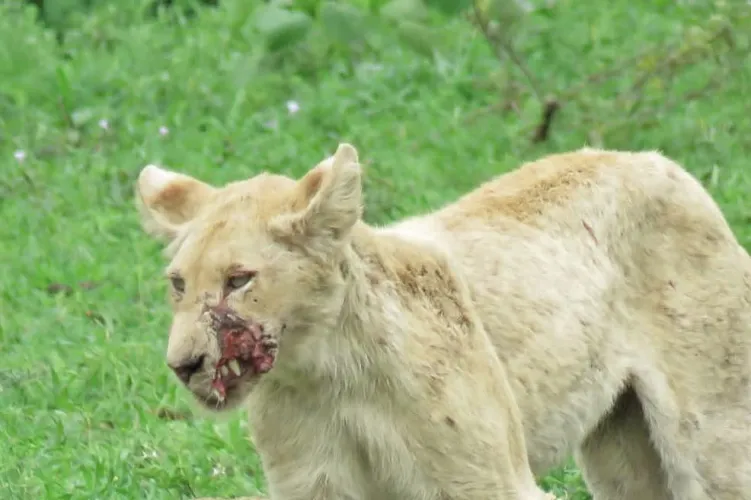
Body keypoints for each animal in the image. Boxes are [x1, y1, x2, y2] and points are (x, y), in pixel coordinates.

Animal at [135, 143, 751, 500]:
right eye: (179, 284)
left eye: (239, 279)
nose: (183, 364)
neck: (328, 373)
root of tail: (654, 158)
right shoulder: (314, 484)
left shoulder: (487, 482)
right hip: (622, 449)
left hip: (714, 433)